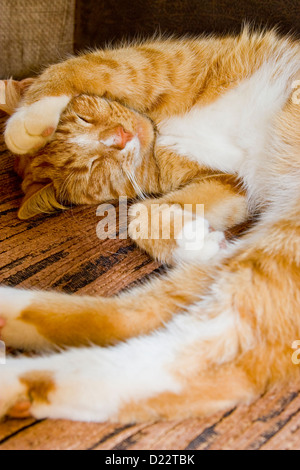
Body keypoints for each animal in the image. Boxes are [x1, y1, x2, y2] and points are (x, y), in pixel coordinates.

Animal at [0, 28, 298, 422]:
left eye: (81, 117)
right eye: (92, 166)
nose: (121, 138)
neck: (157, 128)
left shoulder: (150, 62)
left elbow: (75, 67)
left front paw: (26, 122)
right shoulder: (229, 182)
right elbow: (138, 216)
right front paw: (194, 241)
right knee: (181, 355)